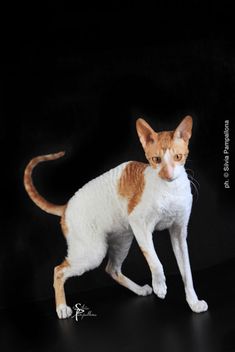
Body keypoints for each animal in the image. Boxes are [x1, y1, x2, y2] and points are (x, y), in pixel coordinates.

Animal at [23, 116, 207, 320]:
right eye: (156, 160)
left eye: (178, 157)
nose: (167, 174)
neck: (170, 190)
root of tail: (66, 206)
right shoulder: (140, 224)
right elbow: (155, 260)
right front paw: (160, 286)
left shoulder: (179, 232)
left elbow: (187, 272)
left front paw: (194, 303)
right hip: (94, 252)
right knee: (59, 270)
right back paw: (62, 308)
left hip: (123, 239)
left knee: (112, 269)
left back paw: (139, 290)